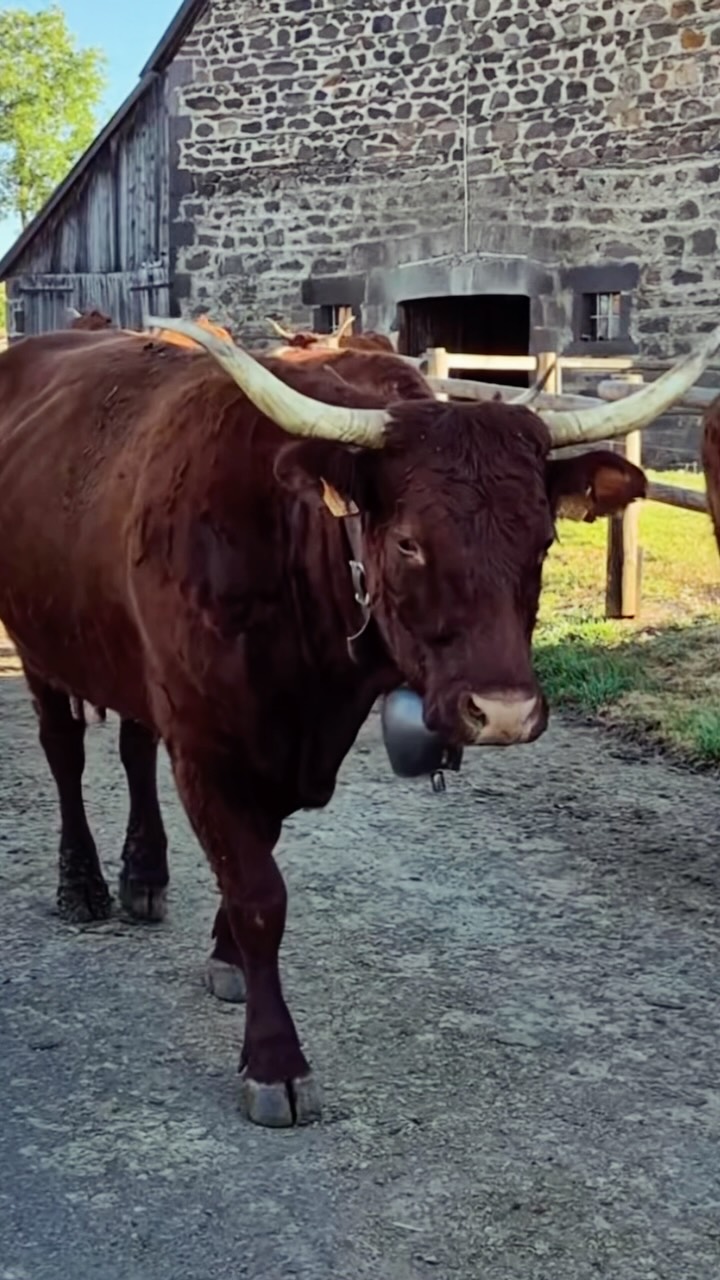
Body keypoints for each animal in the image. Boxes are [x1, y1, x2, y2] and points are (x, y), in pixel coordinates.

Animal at [0, 315, 713, 1127]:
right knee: (65, 753)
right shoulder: (208, 741)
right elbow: (259, 894)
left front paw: (223, 955)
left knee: (132, 745)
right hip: (40, 643)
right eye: (408, 542)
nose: (503, 713)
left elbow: (254, 860)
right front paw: (275, 1061)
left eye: (544, 540)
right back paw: (83, 885)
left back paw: (143, 875)